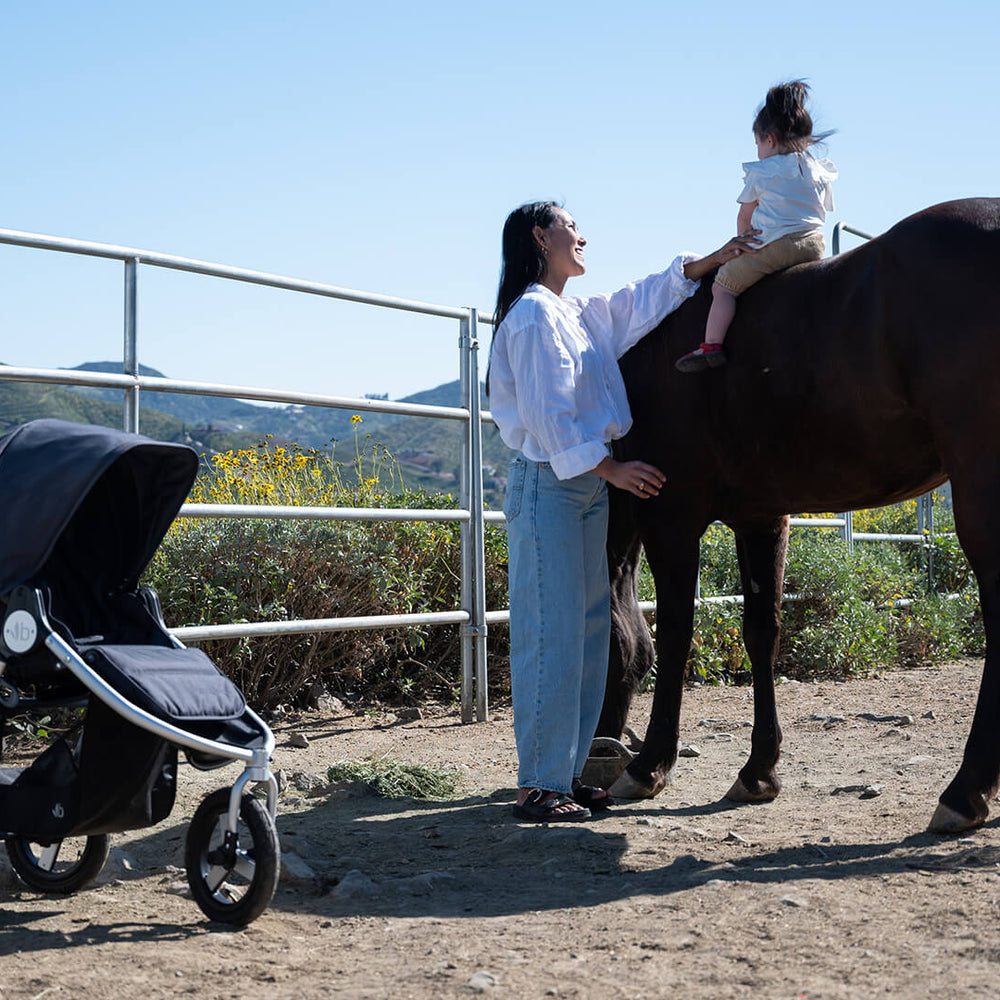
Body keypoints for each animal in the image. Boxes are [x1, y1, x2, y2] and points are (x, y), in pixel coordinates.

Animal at [600, 197, 1000, 836]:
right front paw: (758, 771)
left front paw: (650, 764)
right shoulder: (762, 518)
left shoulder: (671, 516)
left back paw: (966, 790)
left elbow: (677, 633)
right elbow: (761, 631)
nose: (602, 749)